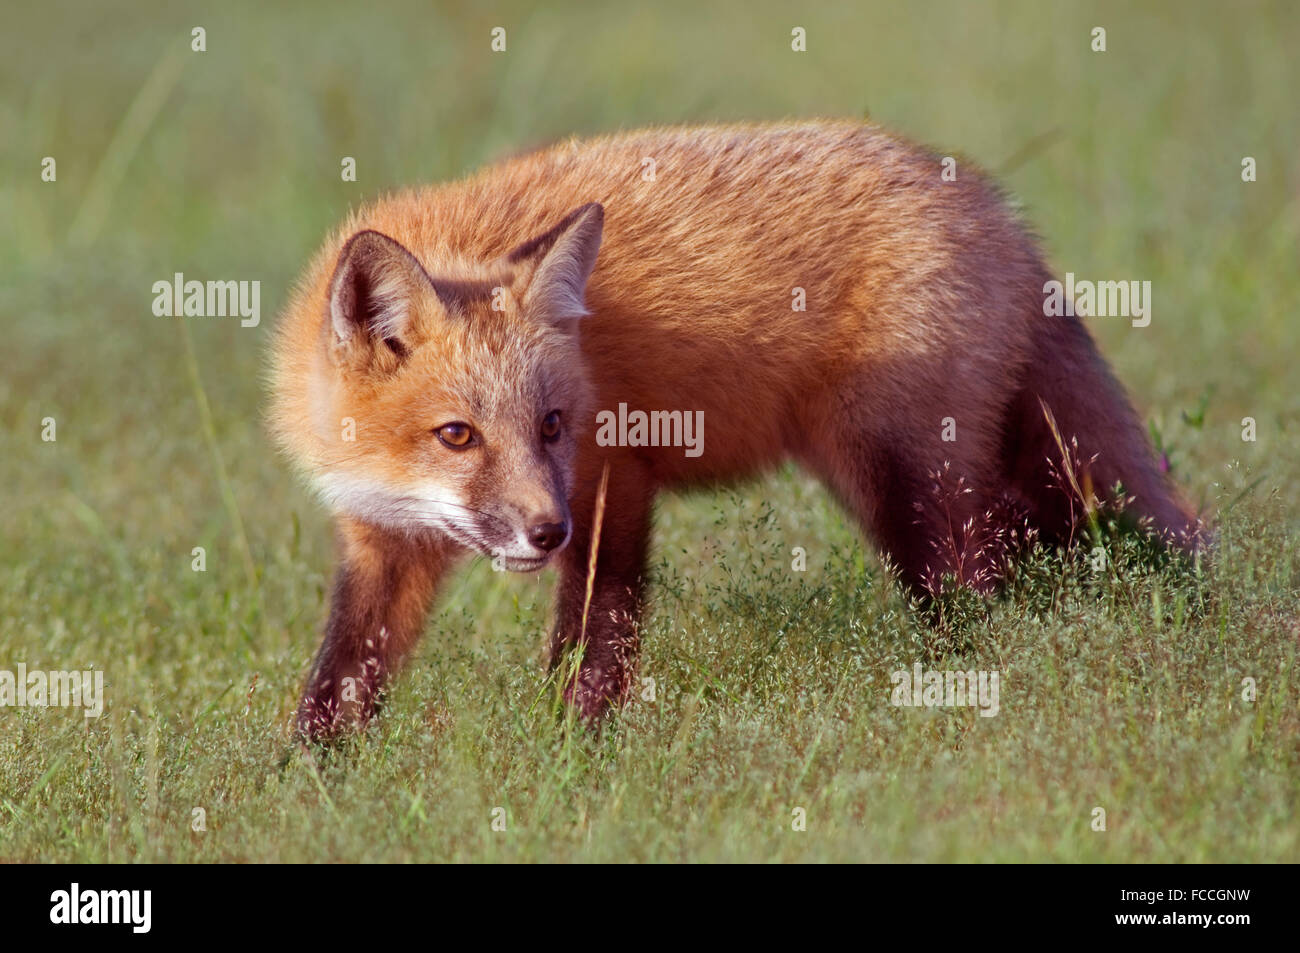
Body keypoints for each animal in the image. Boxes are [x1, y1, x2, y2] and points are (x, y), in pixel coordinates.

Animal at [271, 122, 1196, 738]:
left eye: (552, 424)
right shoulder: (381, 539)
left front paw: (568, 752)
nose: (545, 530)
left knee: (976, 594)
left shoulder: (613, 482)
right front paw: (312, 780)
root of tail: (997, 210)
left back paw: (951, 700)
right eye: (457, 435)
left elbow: (593, 638)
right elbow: (339, 675)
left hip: (905, 482)